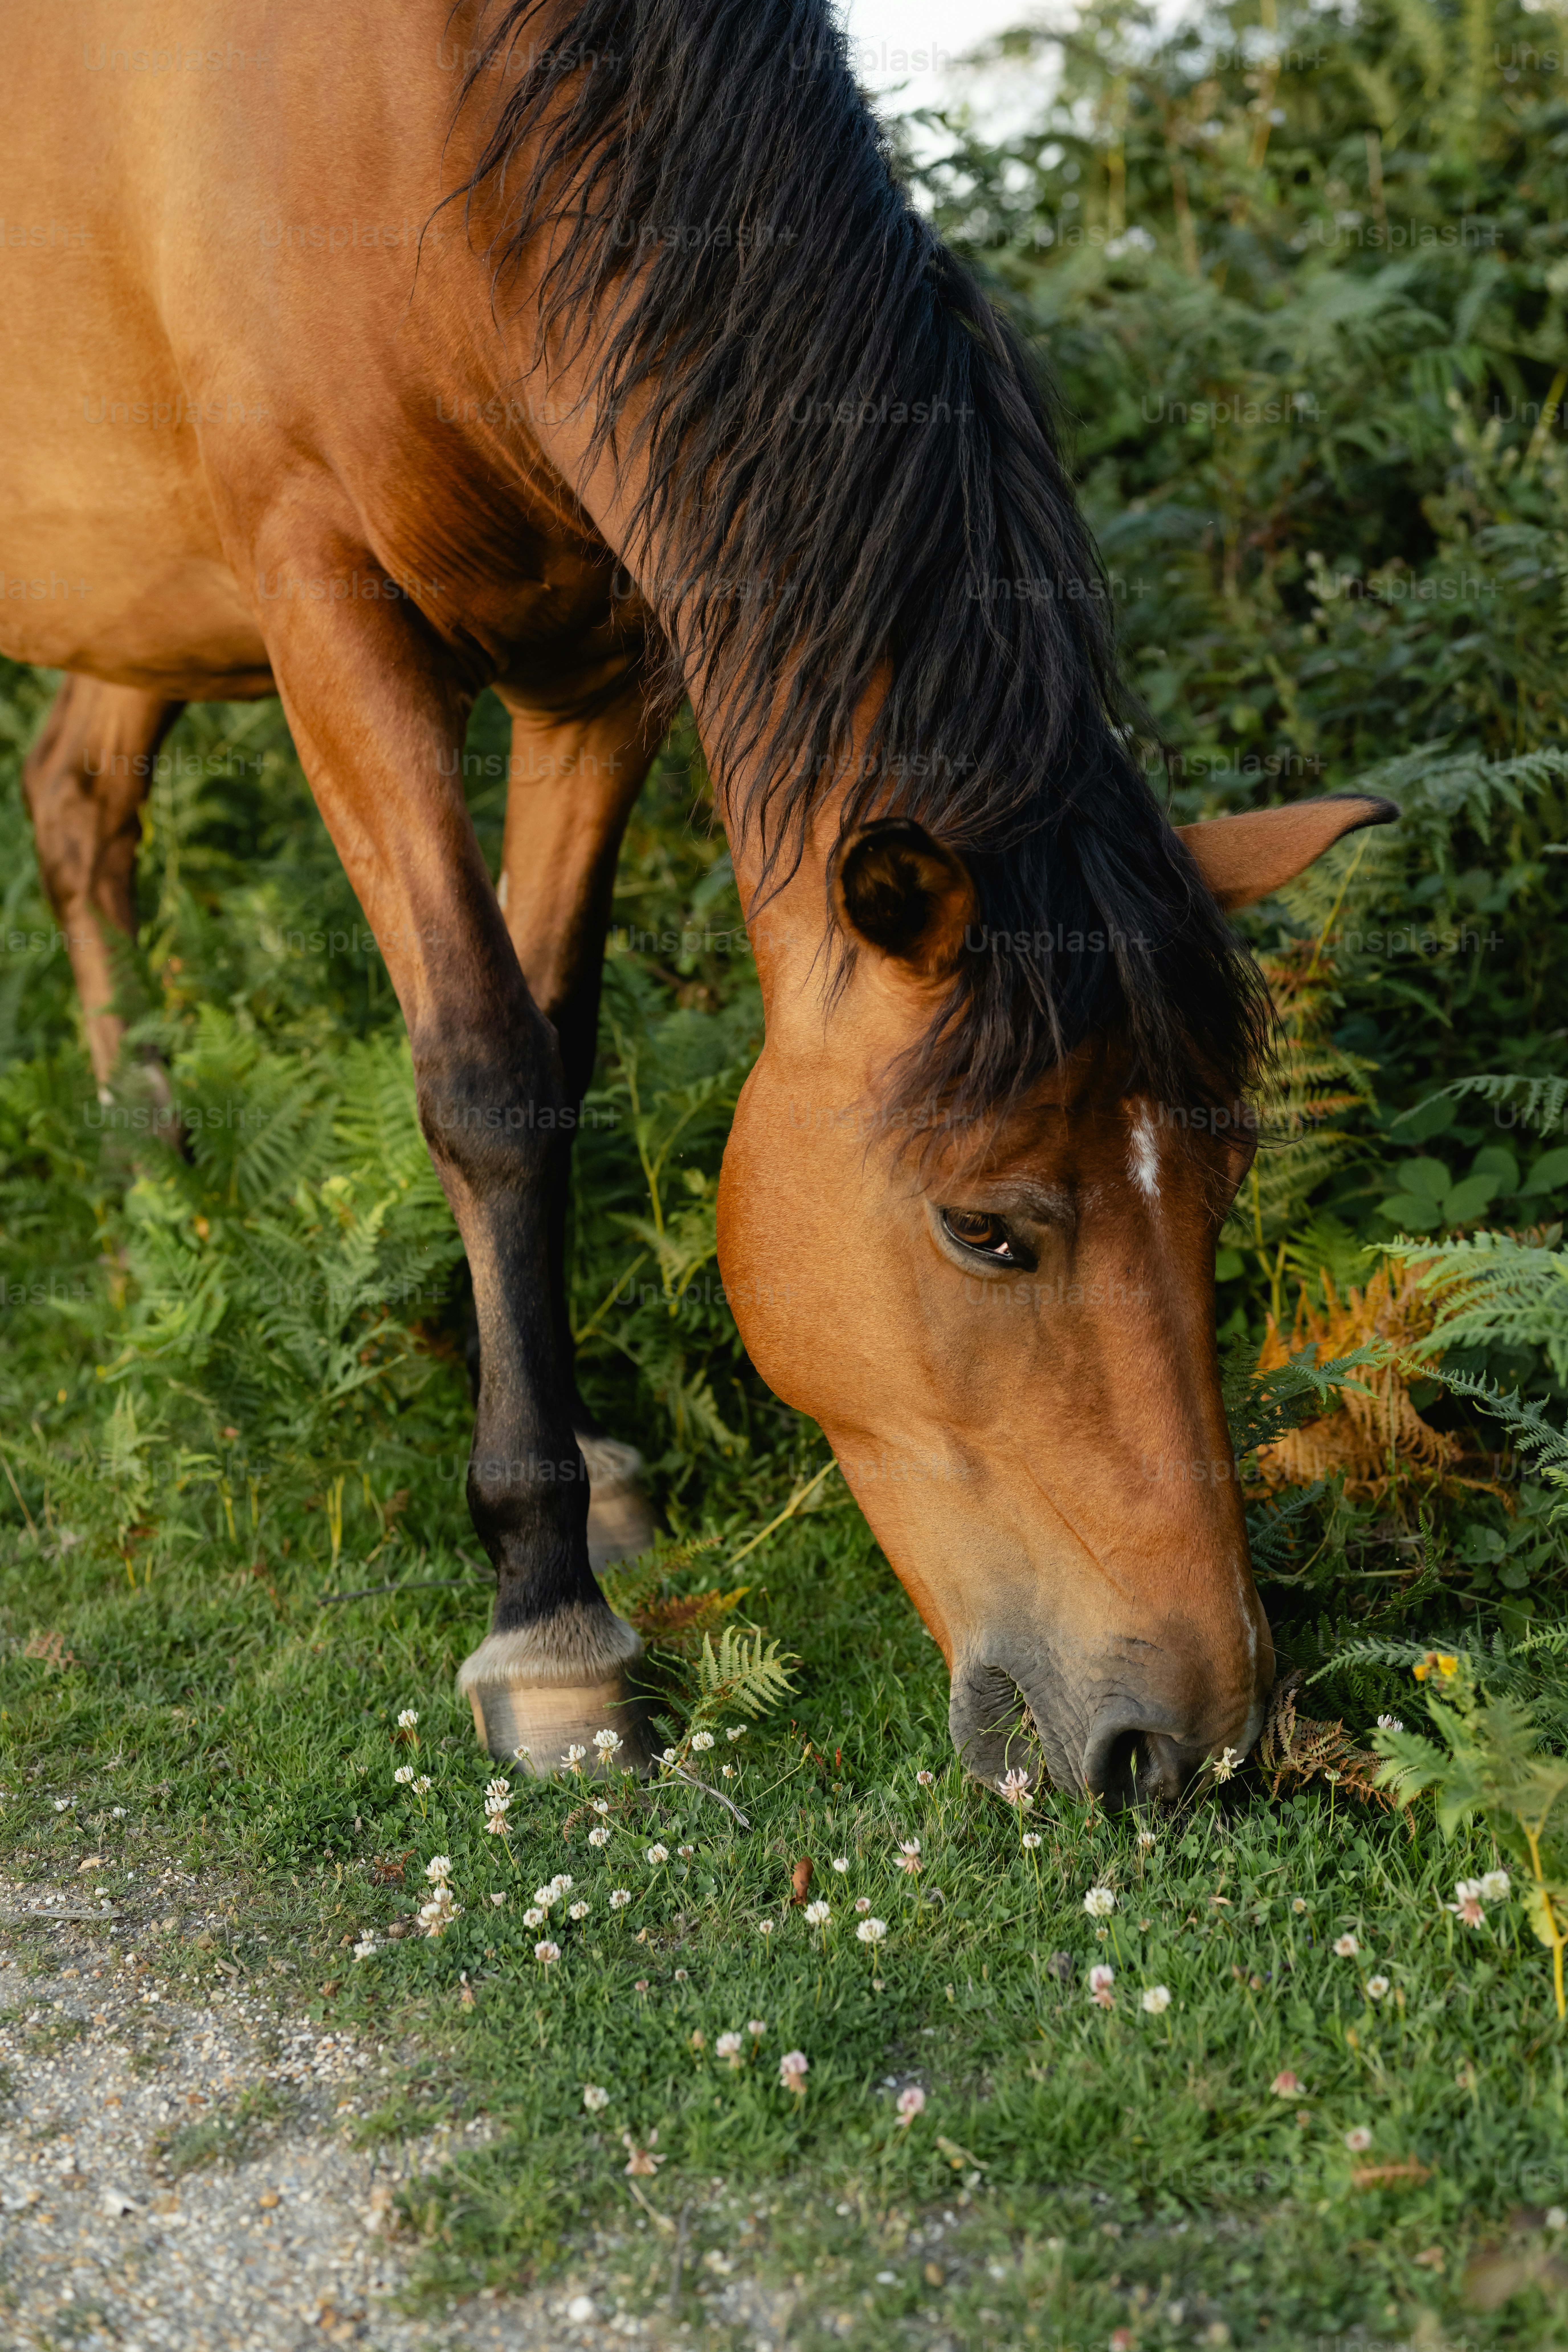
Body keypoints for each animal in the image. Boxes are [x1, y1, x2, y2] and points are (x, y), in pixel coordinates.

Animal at [2, 0, 1392, 1802]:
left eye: (1218, 1190)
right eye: (986, 1228)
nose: (1191, 1740)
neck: (409, 121)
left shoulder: (599, 659)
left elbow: (552, 1040)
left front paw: (570, 1458)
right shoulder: (330, 610)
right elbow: (483, 1075)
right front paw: (548, 1620)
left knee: (77, 805)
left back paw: (147, 1199)